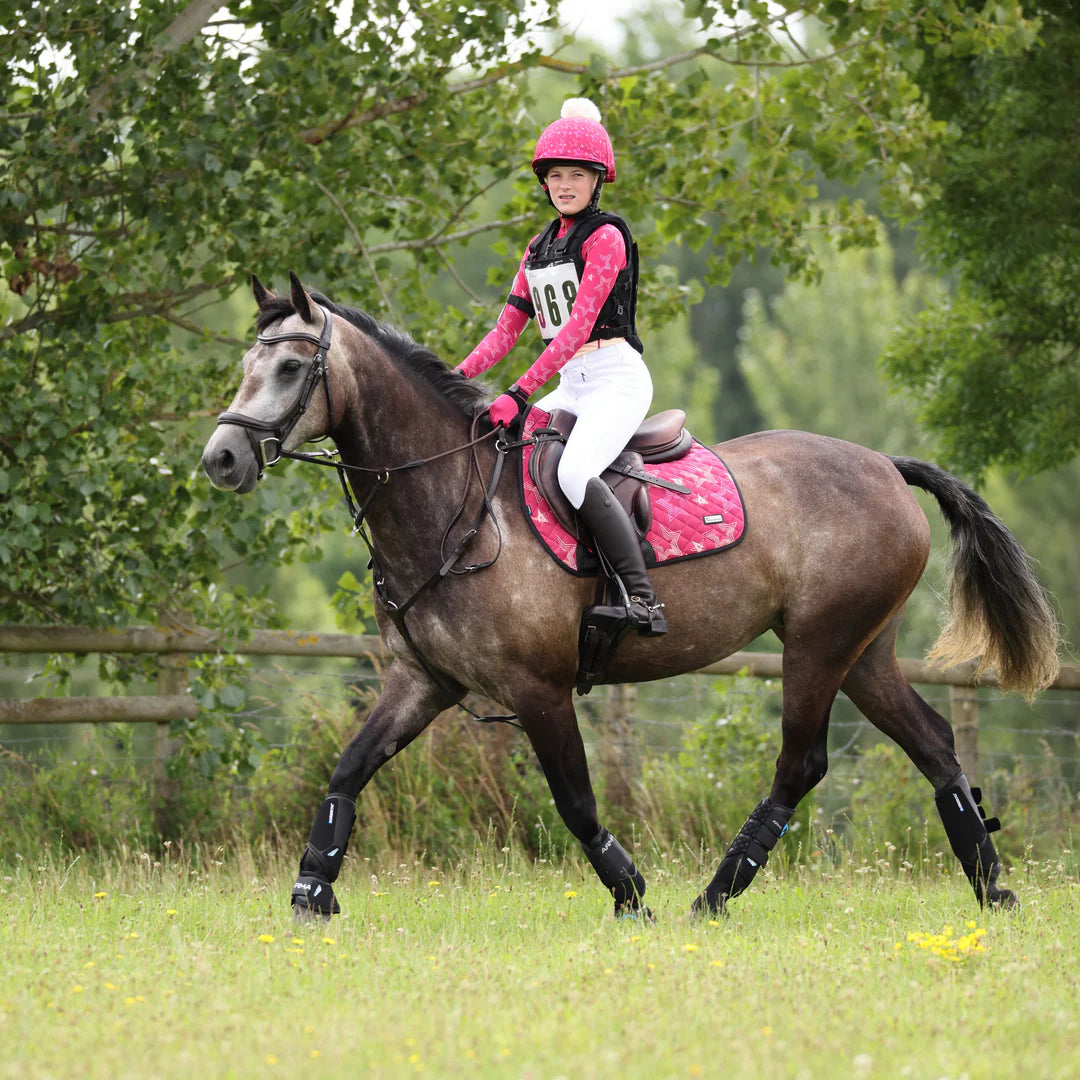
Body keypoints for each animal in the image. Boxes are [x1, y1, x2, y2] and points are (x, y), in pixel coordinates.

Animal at [198, 272, 1058, 920]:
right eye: (246, 363)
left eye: (288, 369)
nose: (222, 458)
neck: (453, 500)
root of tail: (883, 464)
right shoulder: (424, 681)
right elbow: (347, 771)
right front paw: (311, 893)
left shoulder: (538, 690)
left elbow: (576, 803)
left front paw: (632, 896)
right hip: (864, 649)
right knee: (934, 746)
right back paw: (992, 889)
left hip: (820, 643)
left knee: (801, 763)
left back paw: (715, 895)